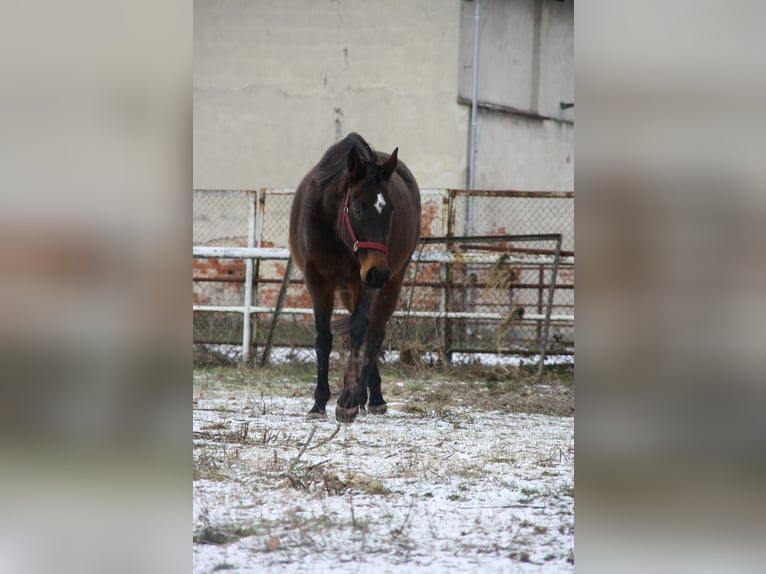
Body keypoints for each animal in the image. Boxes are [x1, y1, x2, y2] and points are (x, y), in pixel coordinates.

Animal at [290, 134, 424, 424]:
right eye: (359, 207)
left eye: (392, 210)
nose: (379, 273)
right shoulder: (317, 281)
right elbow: (323, 338)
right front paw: (319, 403)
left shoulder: (365, 281)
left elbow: (359, 330)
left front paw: (346, 402)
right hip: (352, 288)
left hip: (389, 284)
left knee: (373, 336)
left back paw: (370, 398)